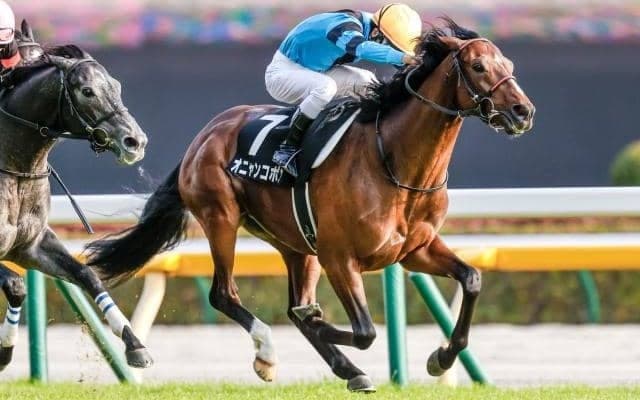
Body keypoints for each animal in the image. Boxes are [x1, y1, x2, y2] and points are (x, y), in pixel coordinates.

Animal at [0, 27, 153, 371]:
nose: (135, 141)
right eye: (87, 91)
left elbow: (86, 274)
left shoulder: (30, 246)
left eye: (116, 86)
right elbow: (16, 285)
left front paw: (135, 345)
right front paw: (4, 351)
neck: (16, 168)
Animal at [85, 19, 535, 391]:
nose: (523, 111)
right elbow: (363, 330)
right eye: (478, 66)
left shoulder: (414, 250)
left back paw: (349, 371)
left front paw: (440, 358)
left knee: (292, 303)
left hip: (297, 244)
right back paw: (270, 354)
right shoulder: (341, 257)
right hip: (221, 217)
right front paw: (322, 327)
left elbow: (471, 279)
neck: (395, 162)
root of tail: (205, 134)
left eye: (508, 63)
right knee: (224, 294)